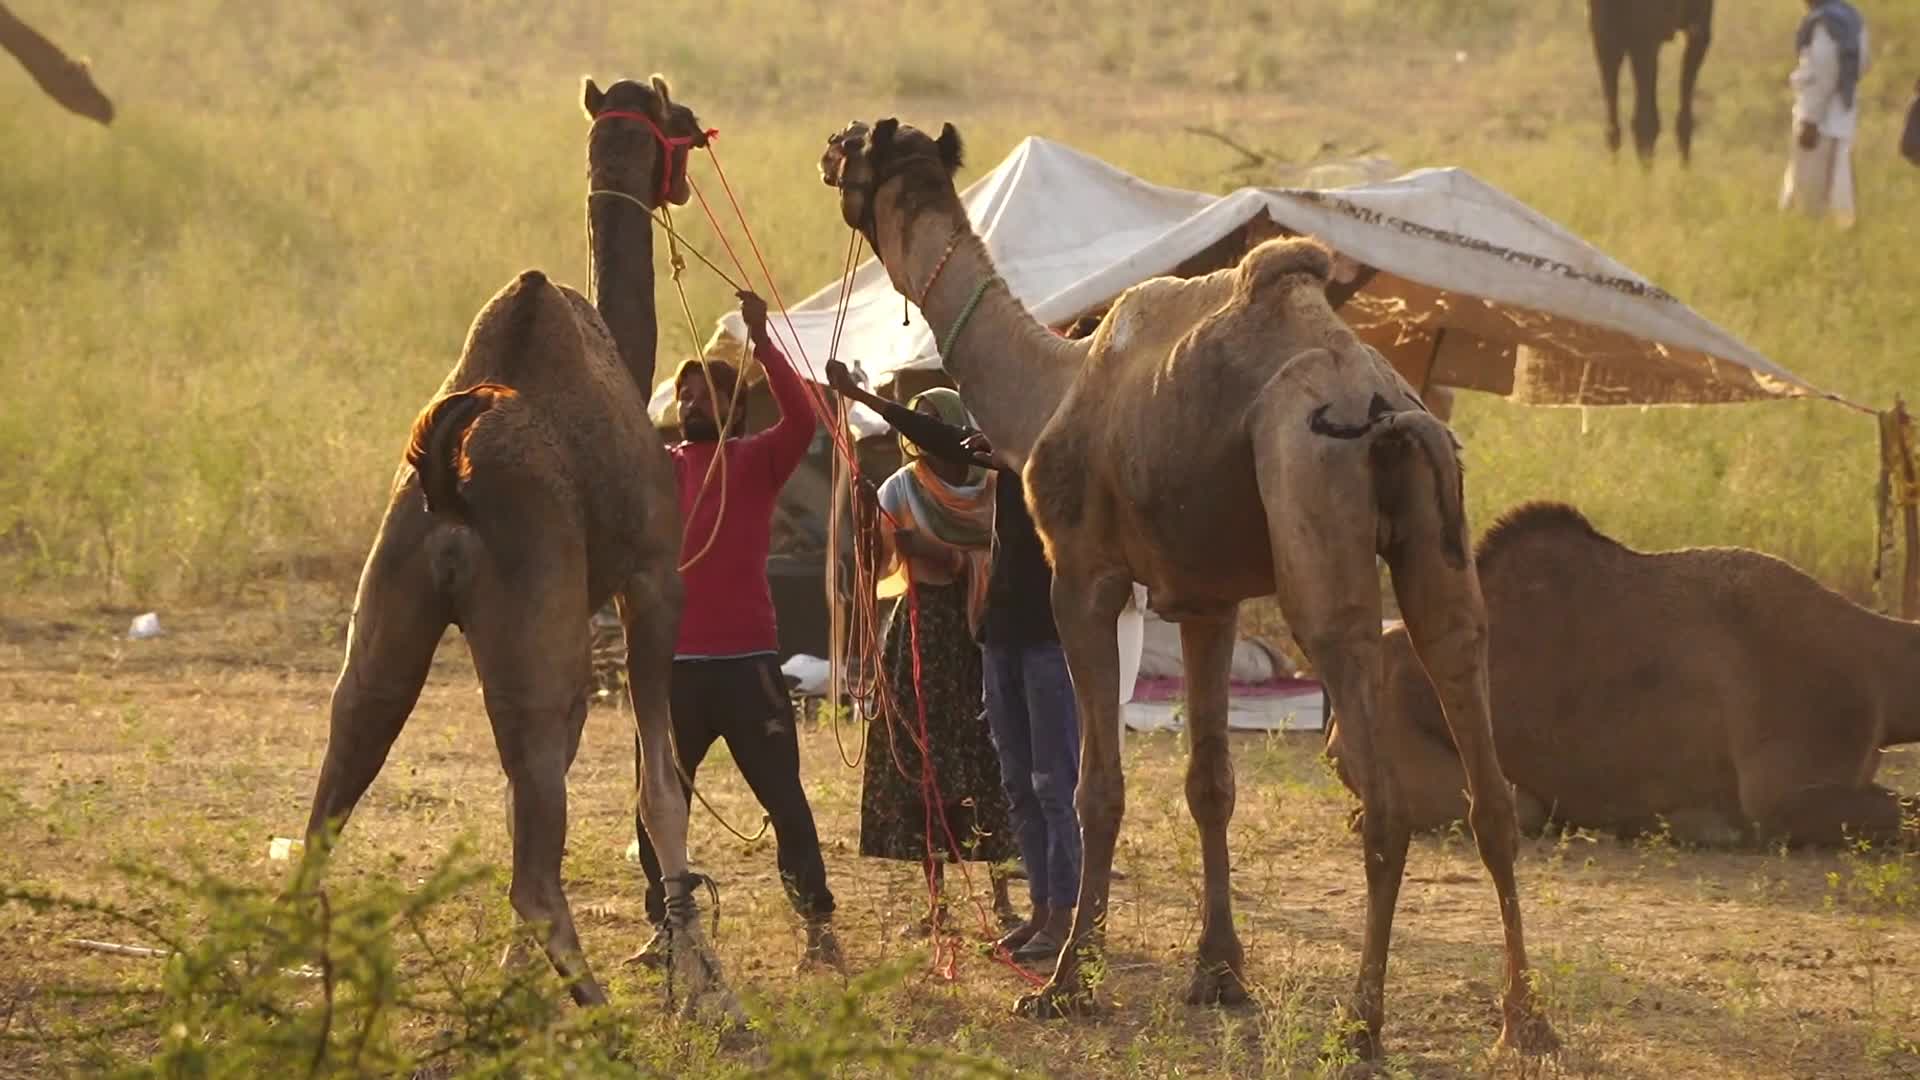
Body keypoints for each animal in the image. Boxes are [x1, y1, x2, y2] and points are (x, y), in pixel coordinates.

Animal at [302, 76, 735, 1015]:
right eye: (676, 120)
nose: (698, 145)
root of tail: (448, 482)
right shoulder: (650, 579)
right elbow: (659, 785)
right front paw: (700, 979)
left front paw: (511, 979)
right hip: (541, 630)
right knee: (534, 857)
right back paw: (594, 1006)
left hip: (392, 609)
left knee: (337, 781)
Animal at [818, 119, 1556, 1060]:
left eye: (860, 144)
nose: (827, 153)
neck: (1052, 388)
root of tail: (1382, 401)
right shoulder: (1210, 599)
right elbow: (1211, 784)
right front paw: (1218, 974)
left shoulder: (1084, 576)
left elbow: (1096, 788)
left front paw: (1066, 983)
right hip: (1438, 535)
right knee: (1479, 749)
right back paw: (1525, 1019)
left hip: (1309, 499)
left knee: (1379, 779)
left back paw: (1360, 1022)